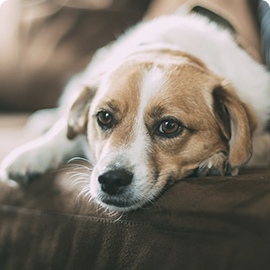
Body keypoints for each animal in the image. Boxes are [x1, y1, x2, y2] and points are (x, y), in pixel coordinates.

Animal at [0, 8, 270, 212]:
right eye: (104, 117)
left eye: (169, 126)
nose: (111, 180)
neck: (170, 48)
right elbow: (63, 132)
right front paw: (33, 154)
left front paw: (218, 159)